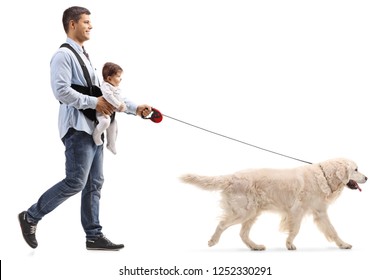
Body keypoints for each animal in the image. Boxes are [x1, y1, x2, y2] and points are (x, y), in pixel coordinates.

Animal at [181, 159, 368, 250]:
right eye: (356, 169)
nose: (367, 177)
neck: (323, 176)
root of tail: (231, 177)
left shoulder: (320, 212)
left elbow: (333, 231)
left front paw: (343, 244)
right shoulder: (297, 210)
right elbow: (295, 229)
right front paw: (289, 244)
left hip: (252, 213)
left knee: (243, 234)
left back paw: (255, 247)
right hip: (244, 211)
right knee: (221, 224)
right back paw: (213, 241)